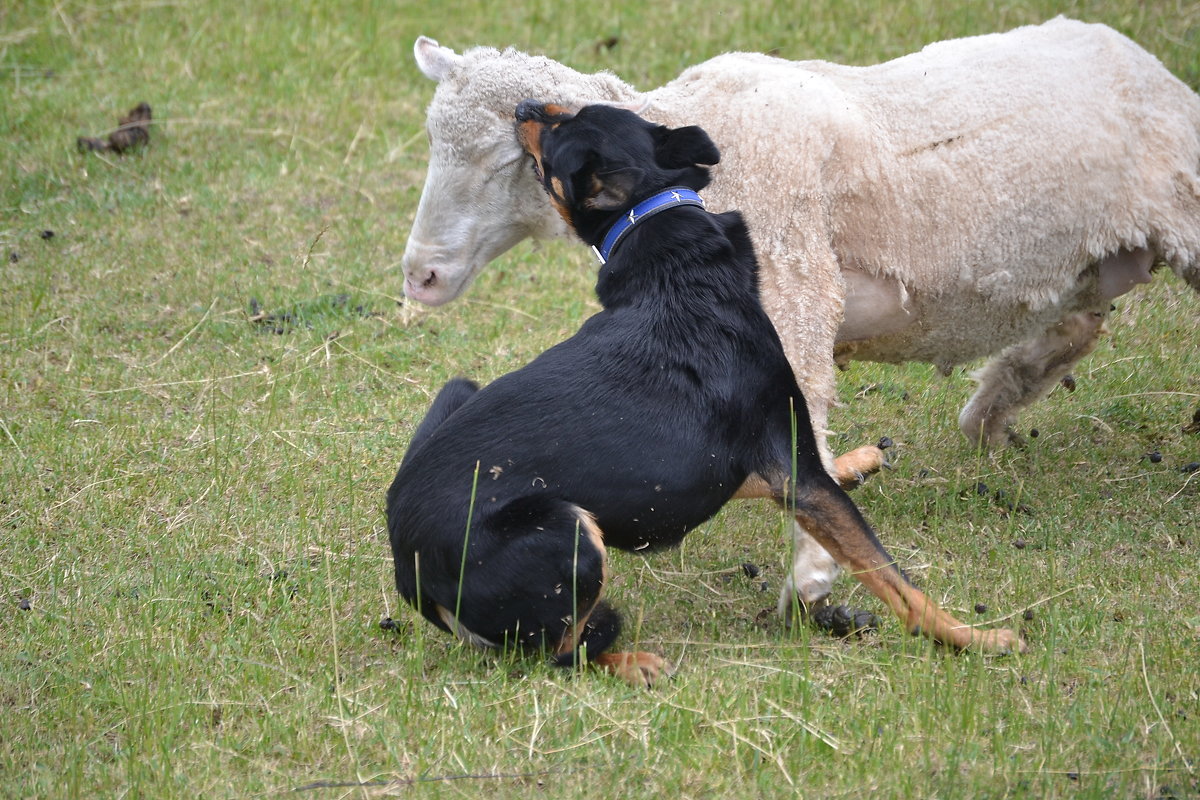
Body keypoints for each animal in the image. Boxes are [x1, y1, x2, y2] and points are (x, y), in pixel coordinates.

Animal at [386, 103, 1022, 686]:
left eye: (564, 119)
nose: (522, 107)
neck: (662, 235)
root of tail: (408, 570)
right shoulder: (790, 468)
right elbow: (890, 574)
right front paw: (975, 638)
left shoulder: (750, 462)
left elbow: (801, 475)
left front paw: (857, 462)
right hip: (568, 530)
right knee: (562, 653)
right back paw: (635, 663)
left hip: (460, 394)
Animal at [398, 18, 1195, 618]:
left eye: (506, 159)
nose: (420, 276)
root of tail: (1141, 58)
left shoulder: (794, 274)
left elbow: (803, 407)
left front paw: (812, 575)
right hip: (1091, 263)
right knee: (1077, 323)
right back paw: (993, 408)